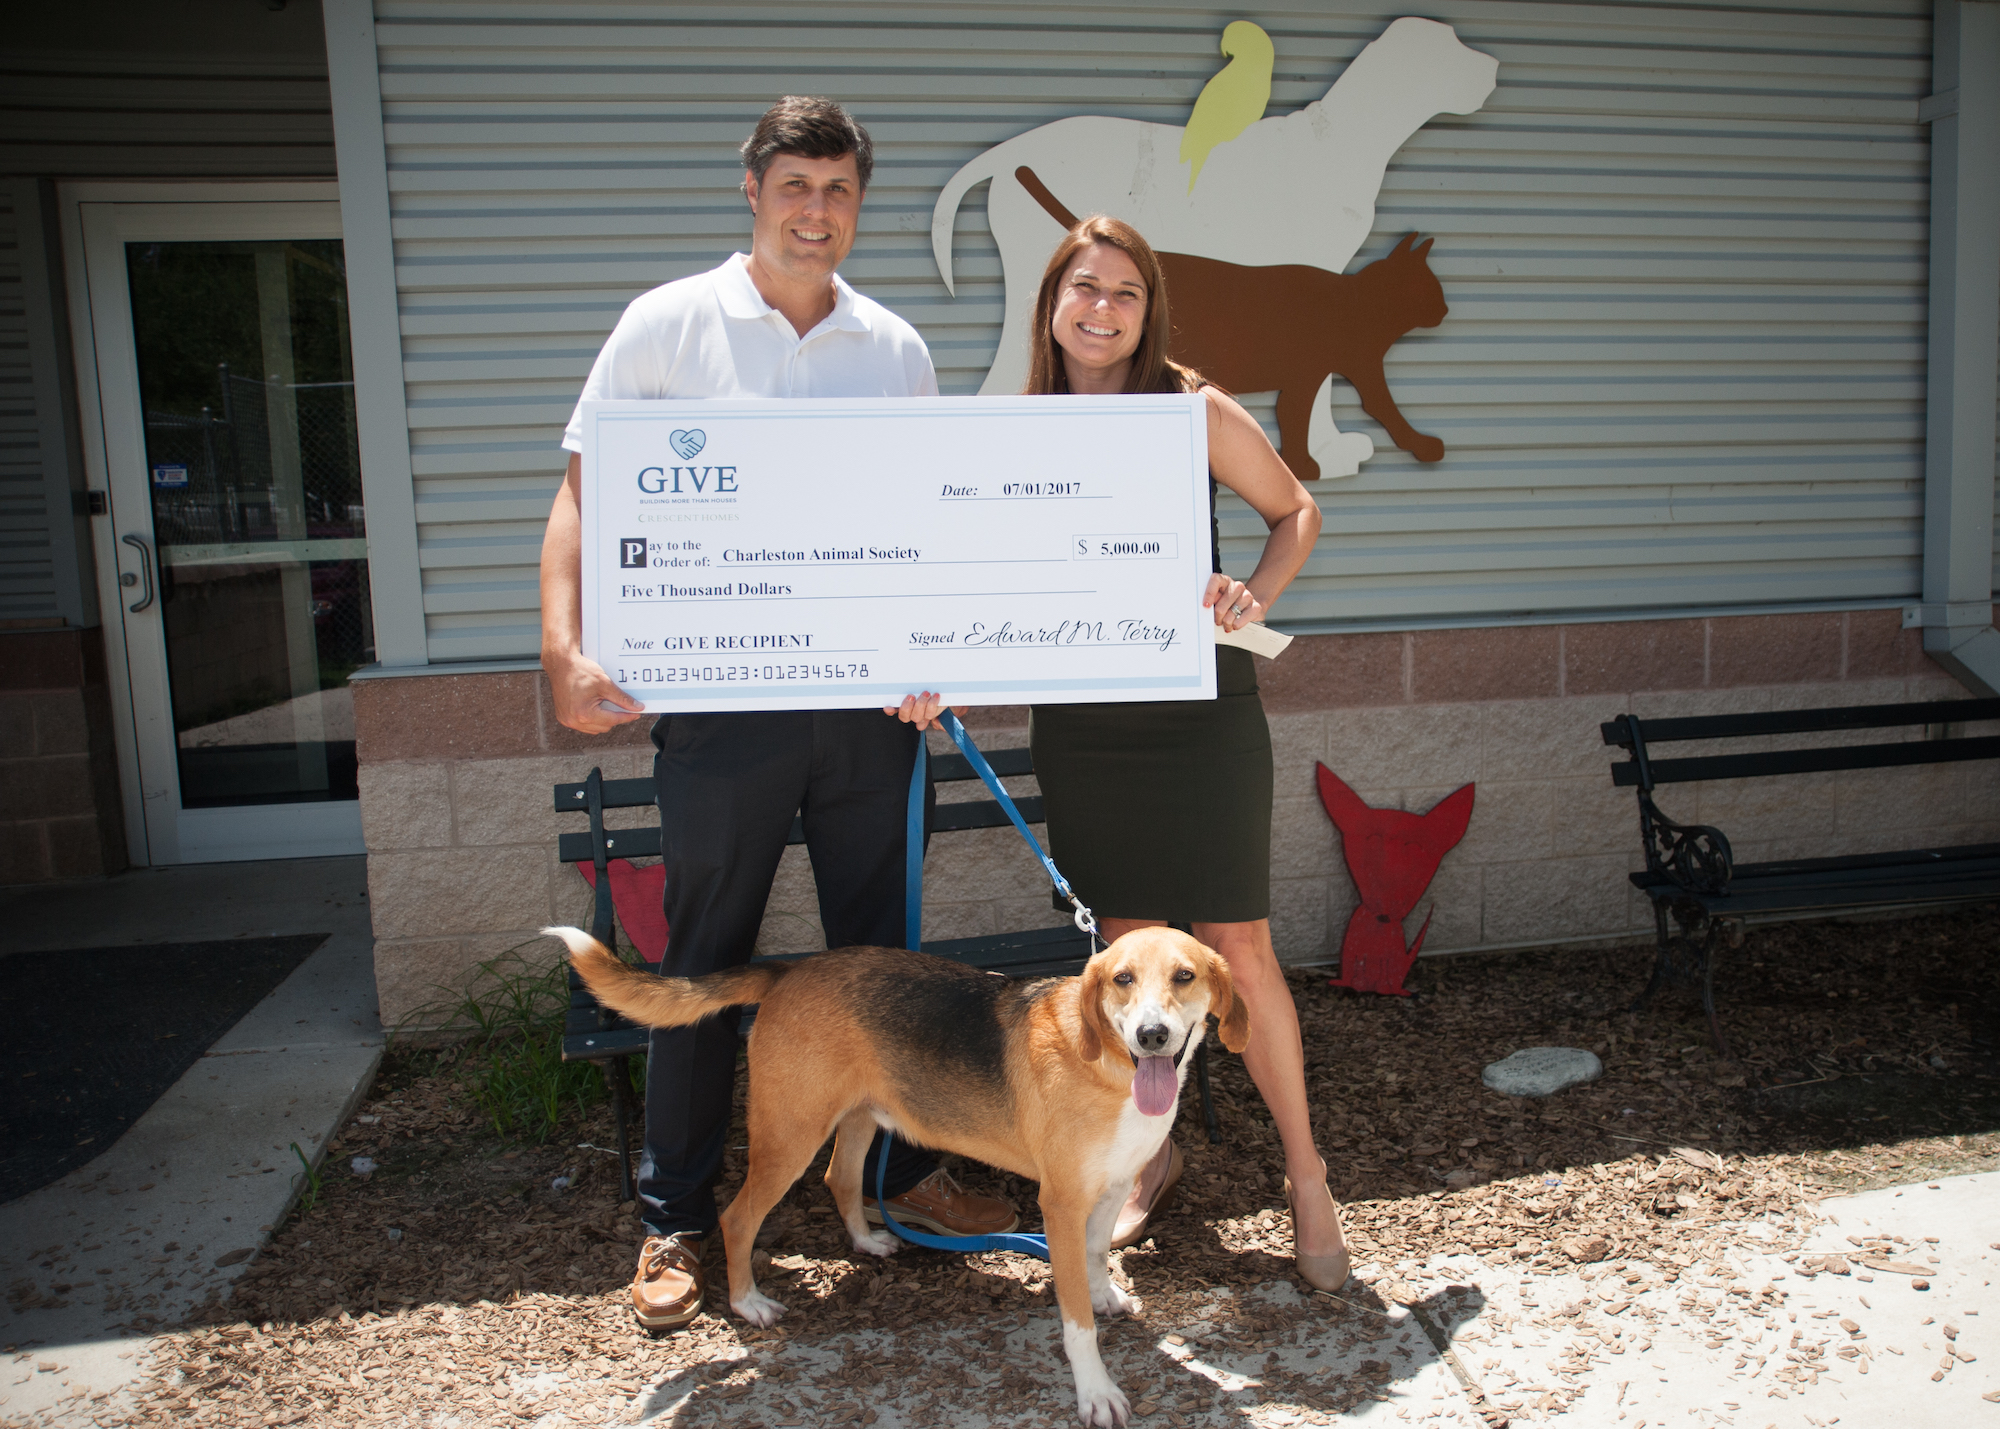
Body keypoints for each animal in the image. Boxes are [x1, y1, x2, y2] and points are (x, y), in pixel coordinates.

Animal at [556, 916, 1240, 1416]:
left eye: (1184, 975)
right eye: (1122, 979)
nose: (1152, 1035)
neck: (1109, 1061)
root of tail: (789, 969)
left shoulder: (1112, 1186)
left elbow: (1097, 1257)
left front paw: (1105, 1295)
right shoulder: (1062, 1204)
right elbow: (1076, 1322)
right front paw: (1096, 1392)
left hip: (861, 1115)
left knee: (840, 1178)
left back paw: (867, 1240)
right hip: (790, 1136)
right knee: (736, 1217)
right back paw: (750, 1304)